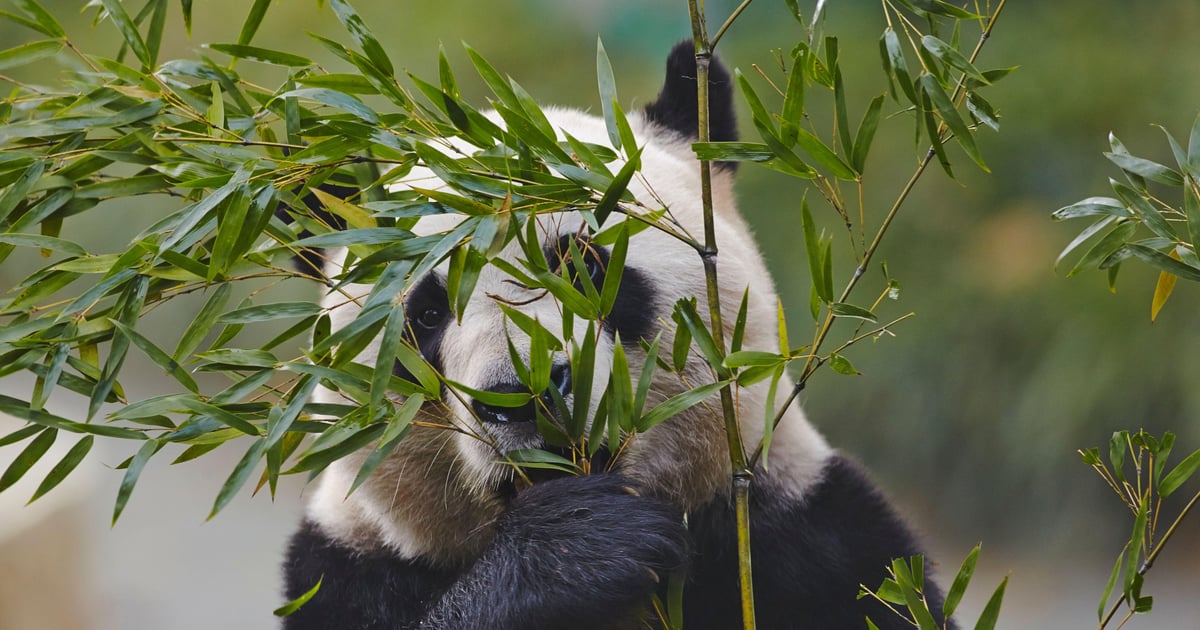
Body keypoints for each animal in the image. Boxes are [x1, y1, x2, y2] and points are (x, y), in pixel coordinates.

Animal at [282, 42, 953, 630]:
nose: (520, 395)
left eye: (584, 267)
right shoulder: (350, 569)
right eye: (426, 315)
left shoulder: (804, 533)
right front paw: (574, 554)